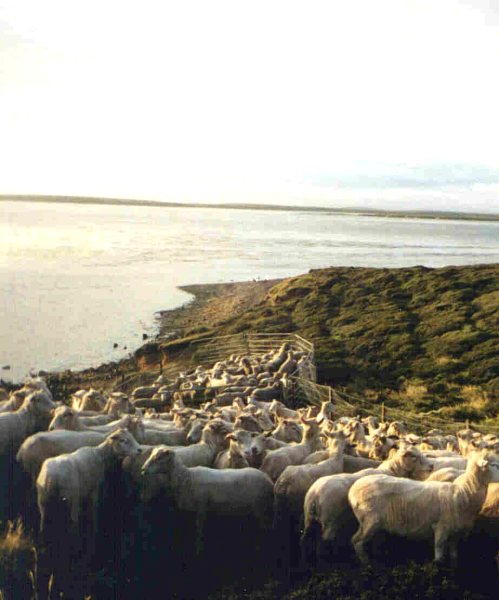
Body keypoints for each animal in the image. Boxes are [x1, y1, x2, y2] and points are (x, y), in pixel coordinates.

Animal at [140, 448, 274, 556]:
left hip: (260, 508)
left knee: (264, 529)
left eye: (158, 458)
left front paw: (198, 550)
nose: (142, 469)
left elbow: (199, 531)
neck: (187, 478)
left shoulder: (201, 507)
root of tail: (269, 481)